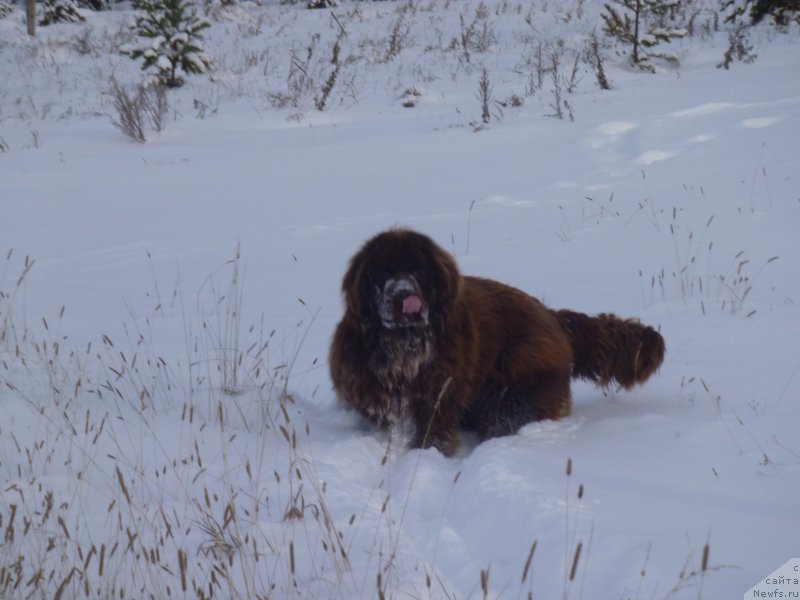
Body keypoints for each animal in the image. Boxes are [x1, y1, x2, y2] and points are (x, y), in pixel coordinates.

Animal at [328, 230, 664, 454]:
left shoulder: (437, 397)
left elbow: (432, 431)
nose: (404, 294)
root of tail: (552, 316)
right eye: (383, 273)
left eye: (417, 272)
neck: (404, 344)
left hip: (519, 376)